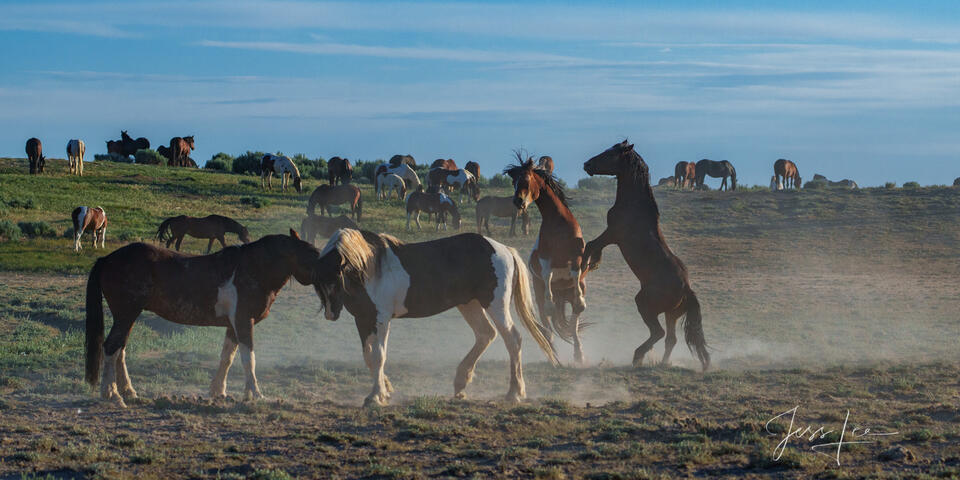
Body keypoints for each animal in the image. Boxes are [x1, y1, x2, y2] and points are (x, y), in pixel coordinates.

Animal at [85, 231, 320, 406]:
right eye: (312, 255)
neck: (253, 269)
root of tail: (107, 259)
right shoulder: (244, 322)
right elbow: (248, 359)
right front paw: (256, 394)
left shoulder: (233, 325)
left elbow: (227, 357)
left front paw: (220, 391)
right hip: (126, 315)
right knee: (111, 348)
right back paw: (112, 394)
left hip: (128, 317)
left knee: (120, 350)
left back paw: (128, 391)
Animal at [312, 228, 560, 404]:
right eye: (318, 282)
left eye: (336, 278)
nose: (331, 313)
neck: (370, 268)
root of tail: (503, 249)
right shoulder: (363, 320)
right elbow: (368, 357)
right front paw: (385, 390)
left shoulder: (381, 319)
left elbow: (379, 356)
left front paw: (375, 396)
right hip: (469, 305)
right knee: (486, 334)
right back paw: (461, 382)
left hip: (496, 305)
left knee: (513, 340)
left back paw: (514, 393)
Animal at [580, 139, 708, 372]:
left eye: (609, 154)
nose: (587, 164)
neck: (634, 205)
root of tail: (687, 290)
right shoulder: (611, 236)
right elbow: (594, 250)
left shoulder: (613, 234)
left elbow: (590, 246)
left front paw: (582, 270)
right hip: (671, 314)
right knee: (670, 339)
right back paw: (662, 363)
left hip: (645, 304)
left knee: (659, 333)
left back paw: (637, 356)